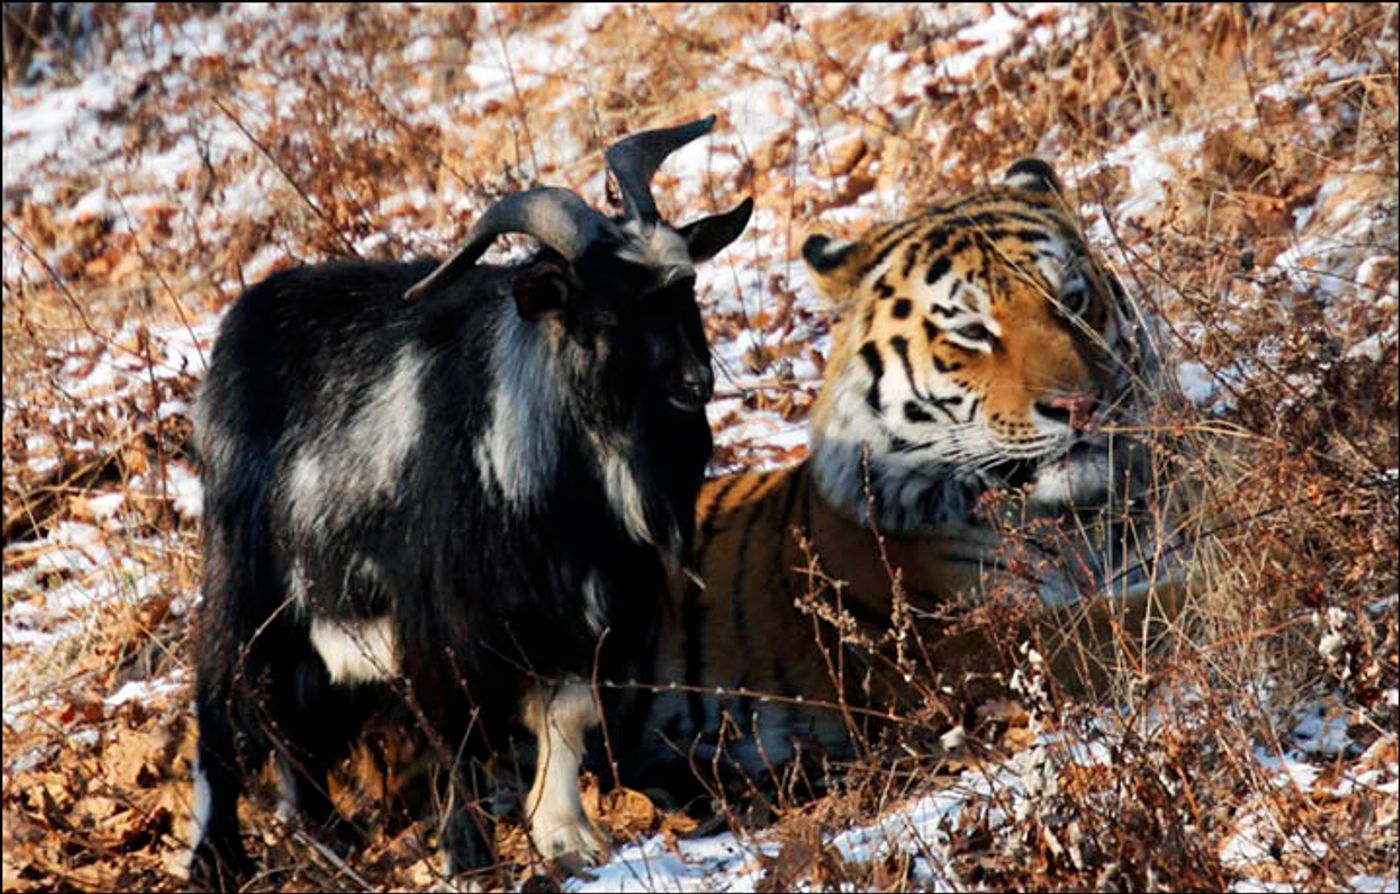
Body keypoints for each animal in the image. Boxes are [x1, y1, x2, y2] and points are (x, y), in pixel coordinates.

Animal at [189, 117, 756, 889]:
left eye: (685, 283)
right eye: (602, 310)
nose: (694, 384)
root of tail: (240, 325)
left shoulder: (583, 613)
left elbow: (566, 716)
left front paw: (567, 836)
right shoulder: (442, 617)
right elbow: (455, 734)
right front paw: (468, 855)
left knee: (293, 720)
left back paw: (329, 834)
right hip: (245, 584)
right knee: (225, 706)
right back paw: (219, 858)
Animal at [616, 157, 1181, 800]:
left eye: (1071, 299)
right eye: (972, 331)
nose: (1080, 406)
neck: (1076, 517)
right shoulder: (969, 641)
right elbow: (1128, 618)